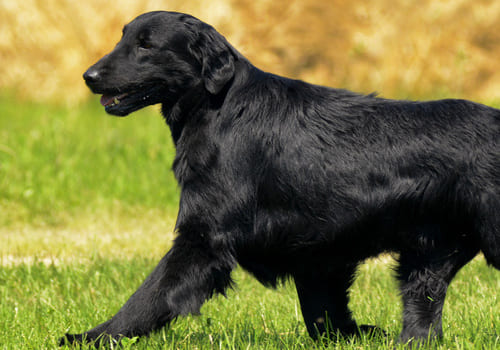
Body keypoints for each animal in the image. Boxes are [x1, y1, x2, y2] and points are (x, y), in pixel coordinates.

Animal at [64, 10, 498, 344]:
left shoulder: (205, 235)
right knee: (423, 321)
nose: (88, 75)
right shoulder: (319, 255)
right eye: (123, 38)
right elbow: (323, 316)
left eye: (146, 45)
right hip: (425, 258)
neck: (219, 107)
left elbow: (149, 295)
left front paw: (92, 337)